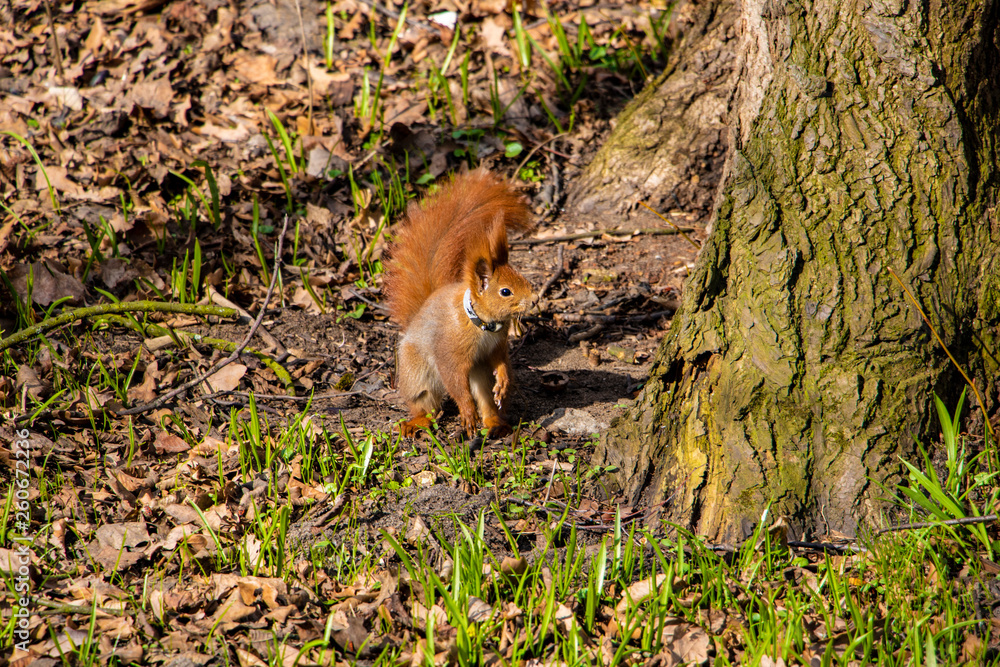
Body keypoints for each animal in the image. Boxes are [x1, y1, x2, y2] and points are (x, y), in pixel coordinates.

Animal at [383, 169, 534, 438]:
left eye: (523, 278)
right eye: (505, 291)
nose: (534, 300)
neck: (482, 324)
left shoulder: (496, 346)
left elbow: (500, 361)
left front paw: (503, 381)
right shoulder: (449, 352)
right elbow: (455, 382)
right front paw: (466, 411)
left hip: (479, 372)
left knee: (485, 396)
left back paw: (495, 423)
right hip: (417, 374)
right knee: (425, 405)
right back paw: (418, 422)